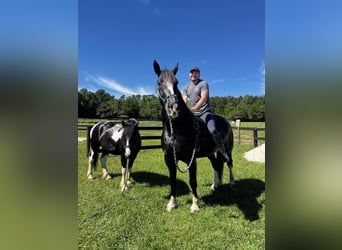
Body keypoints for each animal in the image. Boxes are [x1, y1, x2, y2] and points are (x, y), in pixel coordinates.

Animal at [153, 60, 235, 213]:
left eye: (176, 82)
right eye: (160, 82)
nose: (173, 109)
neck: (176, 129)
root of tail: (226, 121)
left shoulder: (191, 159)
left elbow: (192, 181)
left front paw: (195, 205)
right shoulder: (169, 159)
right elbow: (172, 180)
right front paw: (171, 204)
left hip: (227, 150)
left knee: (229, 163)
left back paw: (232, 182)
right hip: (210, 153)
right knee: (216, 165)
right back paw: (216, 185)